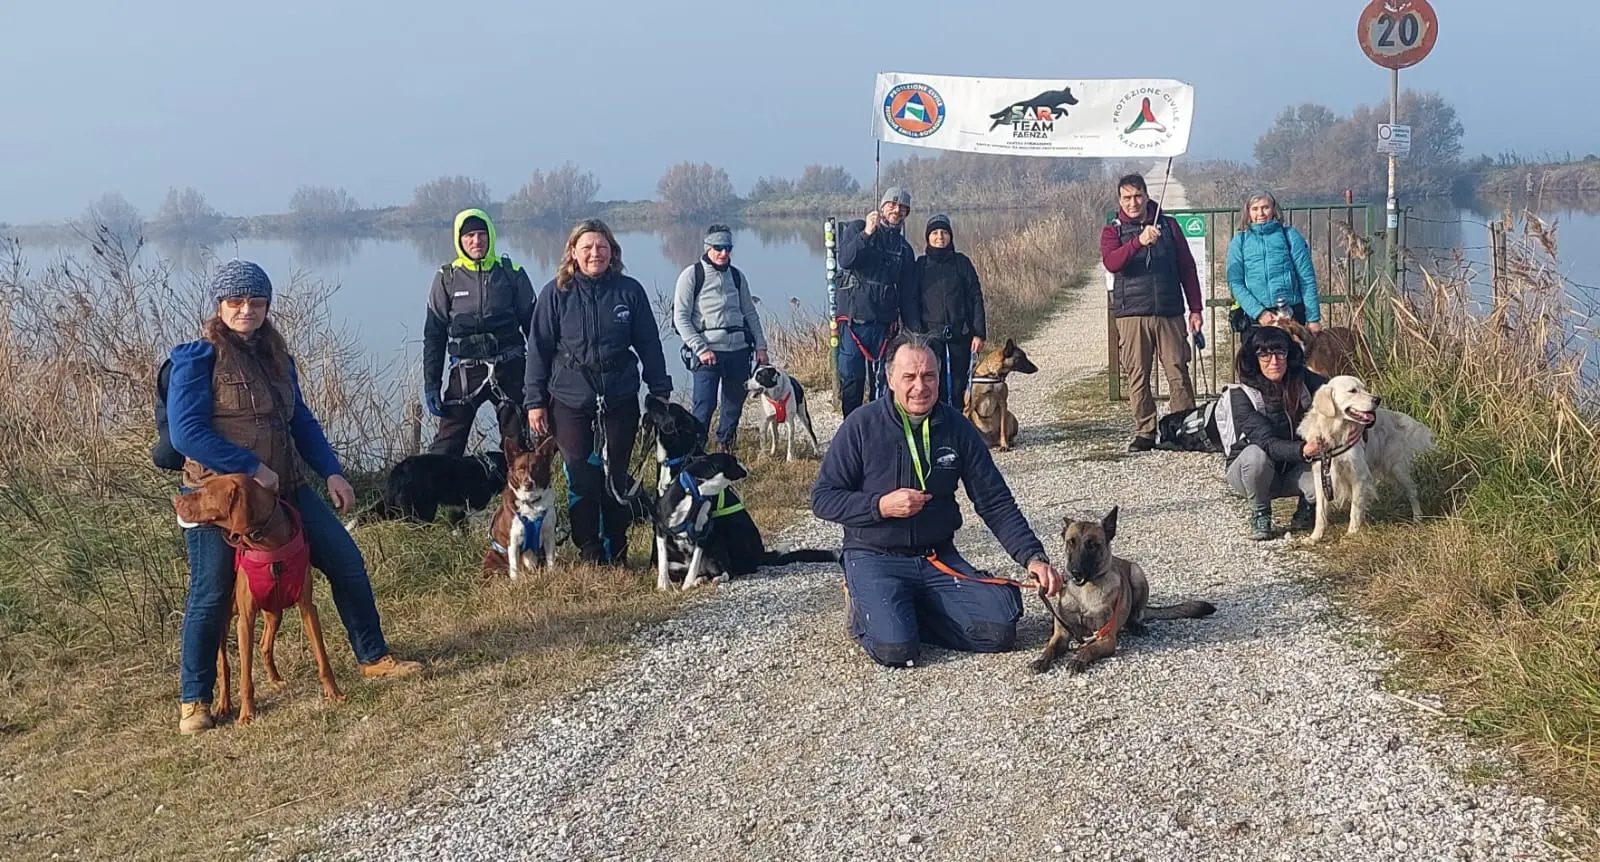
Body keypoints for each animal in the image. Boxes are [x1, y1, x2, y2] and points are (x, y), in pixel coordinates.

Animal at [170, 476, 342, 726]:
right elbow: (245, 678)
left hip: (275, 611)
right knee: (223, 665)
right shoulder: (245, 620)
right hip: (222, 620)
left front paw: (334, 693)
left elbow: (322, 657)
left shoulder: (308, 608)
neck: (268, 542)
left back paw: (275, 680)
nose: (175, 500)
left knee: (264, 645)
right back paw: (223, 705)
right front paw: (246, 714)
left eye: (208, 492)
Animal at [480, 431, 563, 578]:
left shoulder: (549, 534)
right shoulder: (513, 541)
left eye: (536, 468)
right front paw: (515, 581)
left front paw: (552, 574)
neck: (531, 503)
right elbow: (514, 568)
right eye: (520, 469)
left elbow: (551, 560)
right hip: (493, 555)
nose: (528, 484)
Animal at [1030, 508, 1216, 678]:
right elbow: (1050, 649)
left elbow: (1088, 649)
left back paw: (1136, 626)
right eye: (1071, 542)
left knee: (1136, 614)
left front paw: (1078, 659)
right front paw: (1041, 660)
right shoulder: (1061, 635)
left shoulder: (1106, 639)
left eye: (1092, 545)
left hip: (1137, 573)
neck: (1083, 593)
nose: (1075, 572)